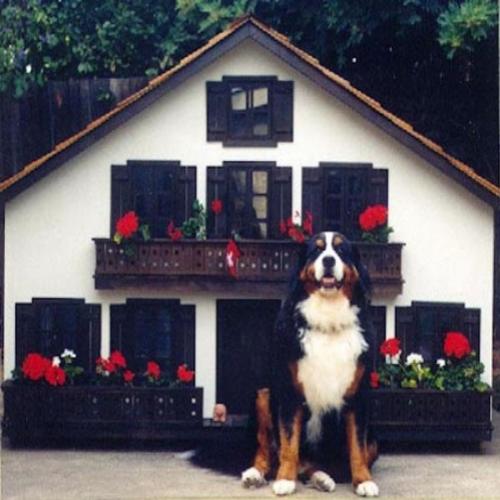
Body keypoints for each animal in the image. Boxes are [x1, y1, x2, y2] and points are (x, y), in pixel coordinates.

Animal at [242, 230, 378, 496]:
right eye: (316, 250)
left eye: (341, 250)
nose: (328, 260)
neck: (328, 320)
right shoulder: (289, 392)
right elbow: (288, 442)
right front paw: (285, 480)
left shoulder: (359, 396)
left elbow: (358, 447)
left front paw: (363, 481)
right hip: (263, 395)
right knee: (266, 451)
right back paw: (256, 475)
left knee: (323, 465)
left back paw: (321, 478)